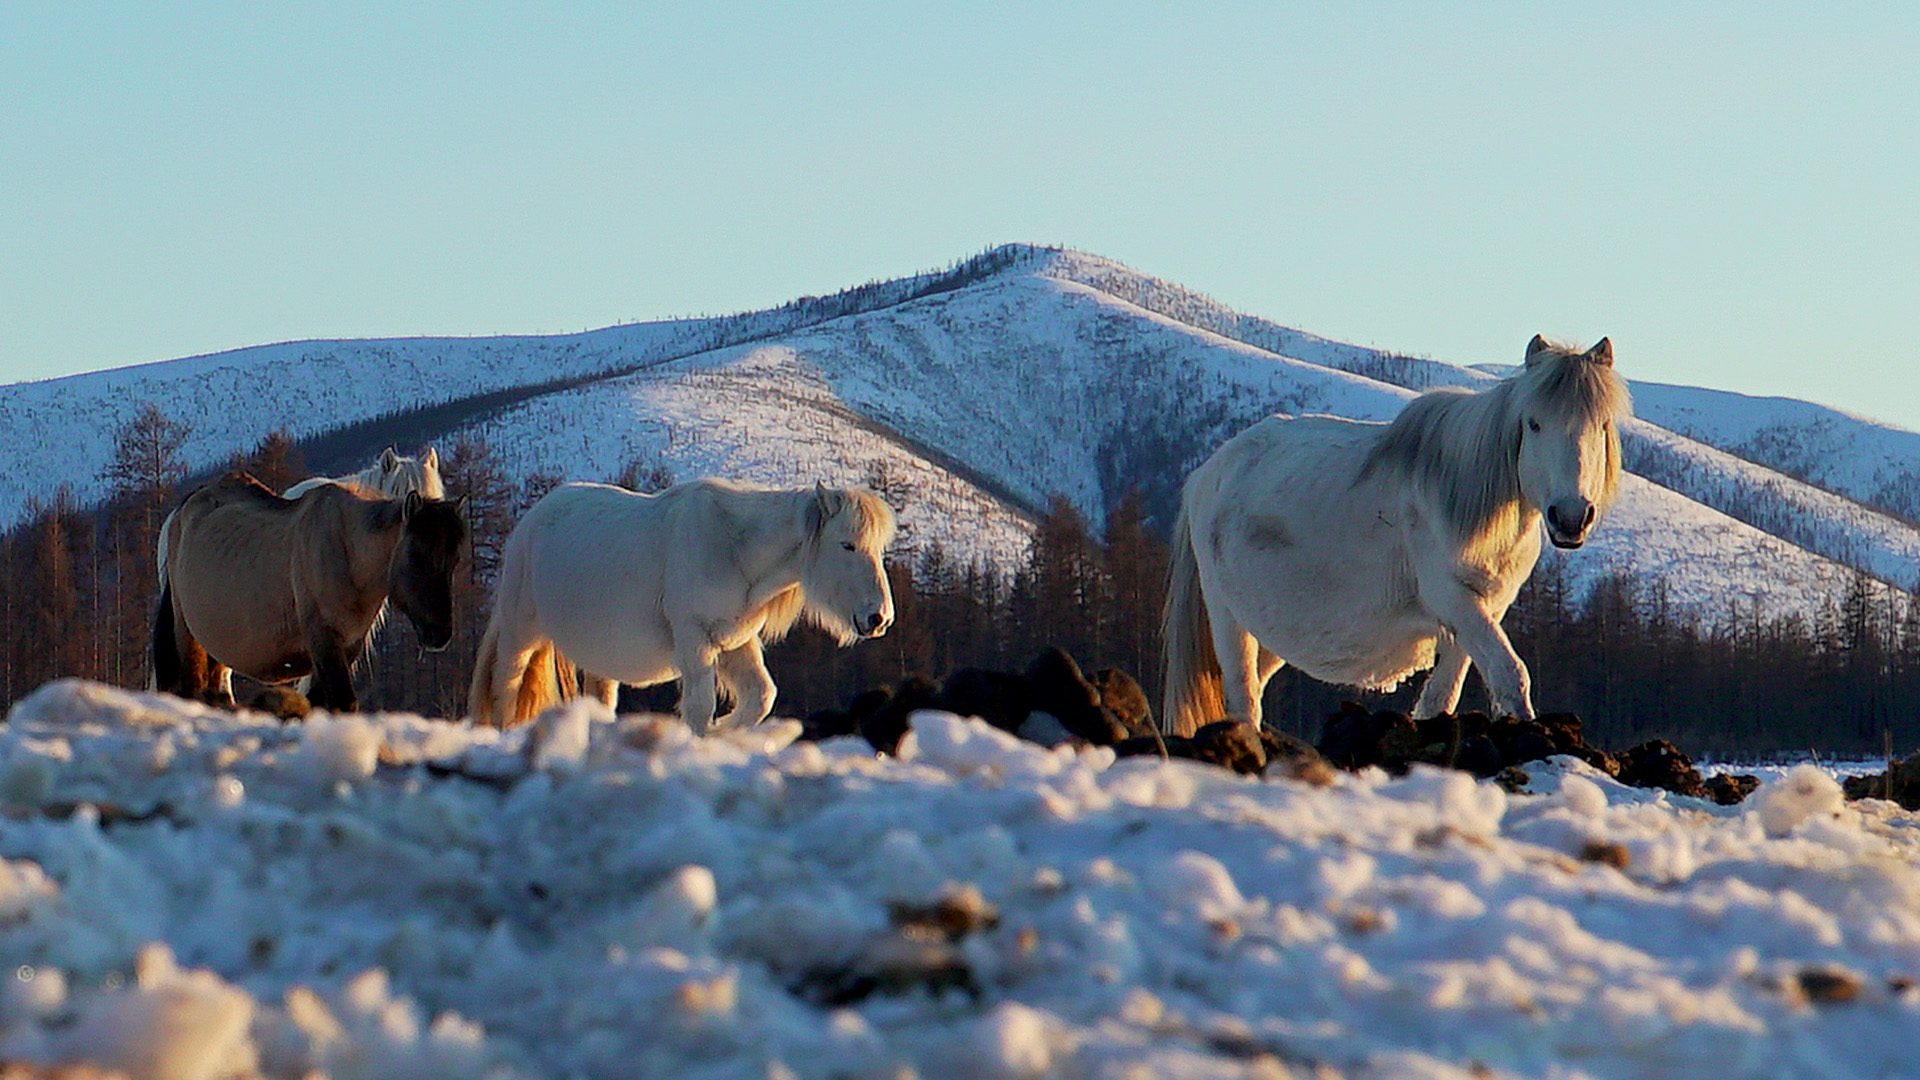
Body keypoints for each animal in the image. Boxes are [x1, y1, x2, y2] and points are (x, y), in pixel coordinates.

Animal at [152, 472, 468, 713]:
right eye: (416, 555)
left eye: (454, 560)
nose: (440, 633)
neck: (348, 551)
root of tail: (182, 511)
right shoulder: (324, 641)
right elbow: (343, 703)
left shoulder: (346, 648)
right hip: (188, 636)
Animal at [468, 478, 896, 732]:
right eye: (847, 545)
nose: (879, 618)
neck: (733, 548)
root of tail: (530, 522)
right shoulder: (694, 638)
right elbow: (700, 706)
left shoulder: (735, 644)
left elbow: (760, 697)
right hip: (521, 634)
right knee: (505, 690)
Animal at [1161, 336, 1629, 735]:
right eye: (1533, 424)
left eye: (1602, 425)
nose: (1571, 517)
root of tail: (1207, 473)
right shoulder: (1454, 600)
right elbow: (1511, 674)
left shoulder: (1485, 611)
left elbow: (1442, 698)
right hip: (1228, 620)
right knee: (1243, 699)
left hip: (1269, 634)